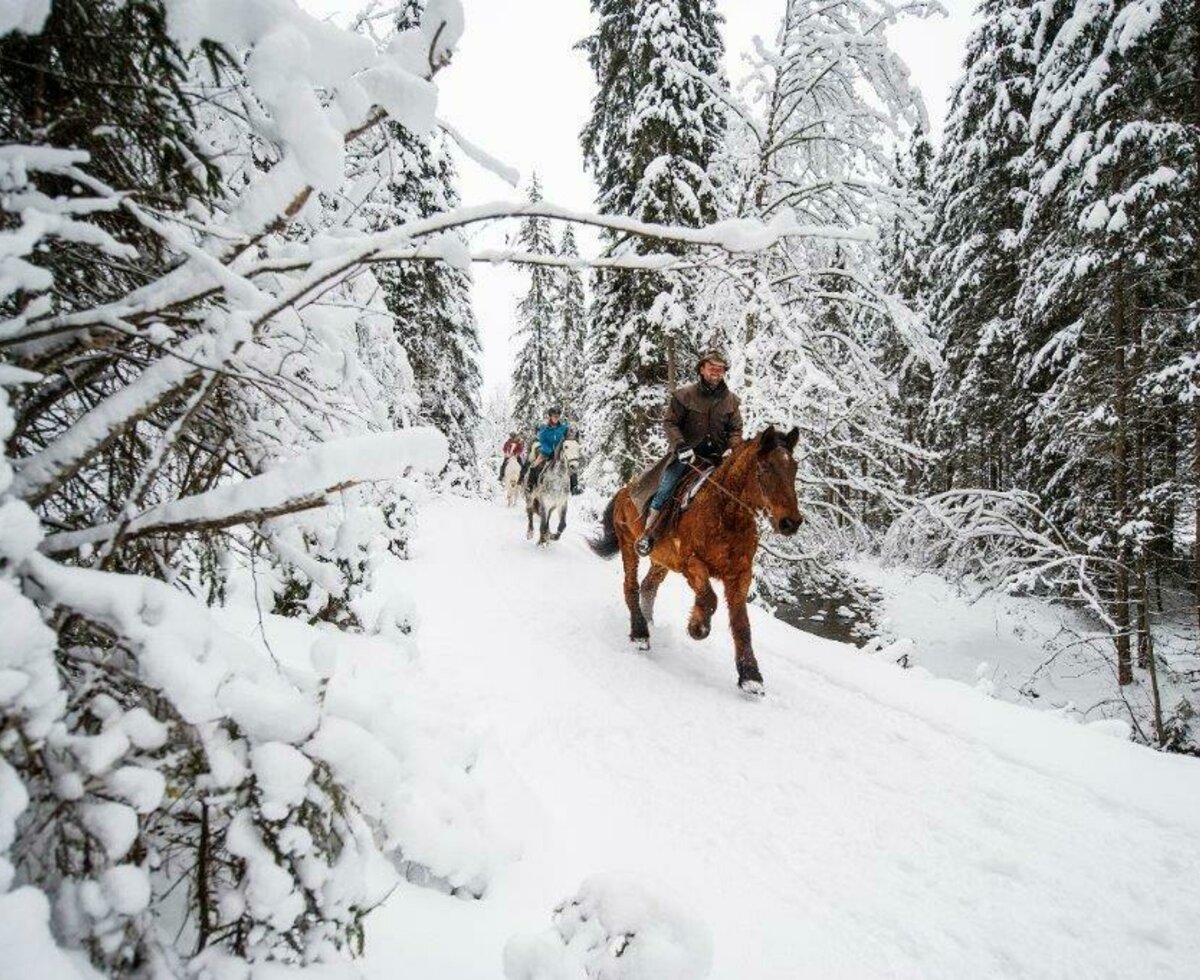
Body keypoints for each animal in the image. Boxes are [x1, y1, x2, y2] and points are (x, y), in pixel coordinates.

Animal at [588, 422, 801, 695]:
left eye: (794, 468)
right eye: (765, 468)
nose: (791, 522)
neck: (726, 515)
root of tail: (626, 490)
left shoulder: (739, 576)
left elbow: (741, 624)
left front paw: (750, 676)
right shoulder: (692, 563)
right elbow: (709, 599)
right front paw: (697, 627)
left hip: (661, 562)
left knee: (648, 587)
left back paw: (649, 622)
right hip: (629, 545)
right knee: (631, 586)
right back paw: (640, 632)